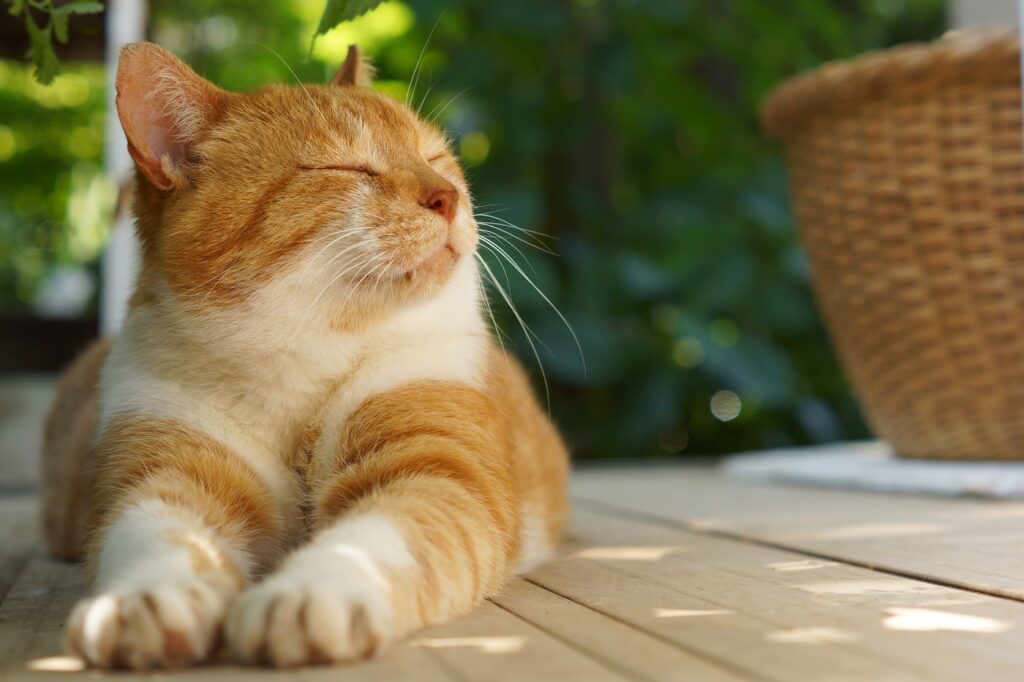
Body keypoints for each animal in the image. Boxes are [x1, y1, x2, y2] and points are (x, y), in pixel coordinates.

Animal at [41, 43, 569, 667]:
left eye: (435, 156)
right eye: (344, 168)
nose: (449, 196)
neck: (303, 375)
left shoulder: (440, 471)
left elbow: (370, 539)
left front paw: (308, 594)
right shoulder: (162, 471)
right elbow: (156, 536)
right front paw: (140, 600)